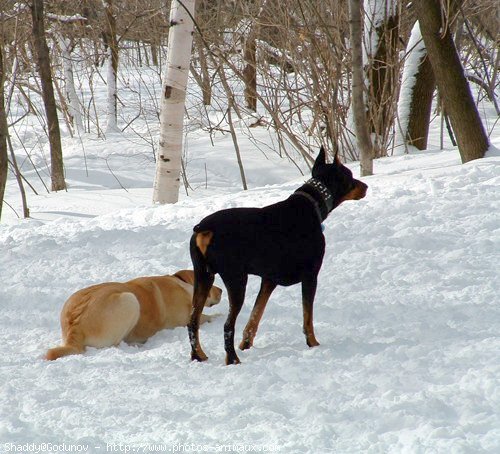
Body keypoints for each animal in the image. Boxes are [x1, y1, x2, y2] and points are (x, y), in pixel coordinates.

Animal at [188, 149, 368, 366]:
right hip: (236, 279)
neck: (312, 205)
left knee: (192, 321)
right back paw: (232, 359)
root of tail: (204, 229)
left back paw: (198, 356)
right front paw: (313, 344)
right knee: (227, 325)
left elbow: (254, 318)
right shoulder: (310, 276)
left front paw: (246, 345)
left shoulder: (268, 280)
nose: (366, 186)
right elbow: (307, 318)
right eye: (349, 175)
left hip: (203, 275)